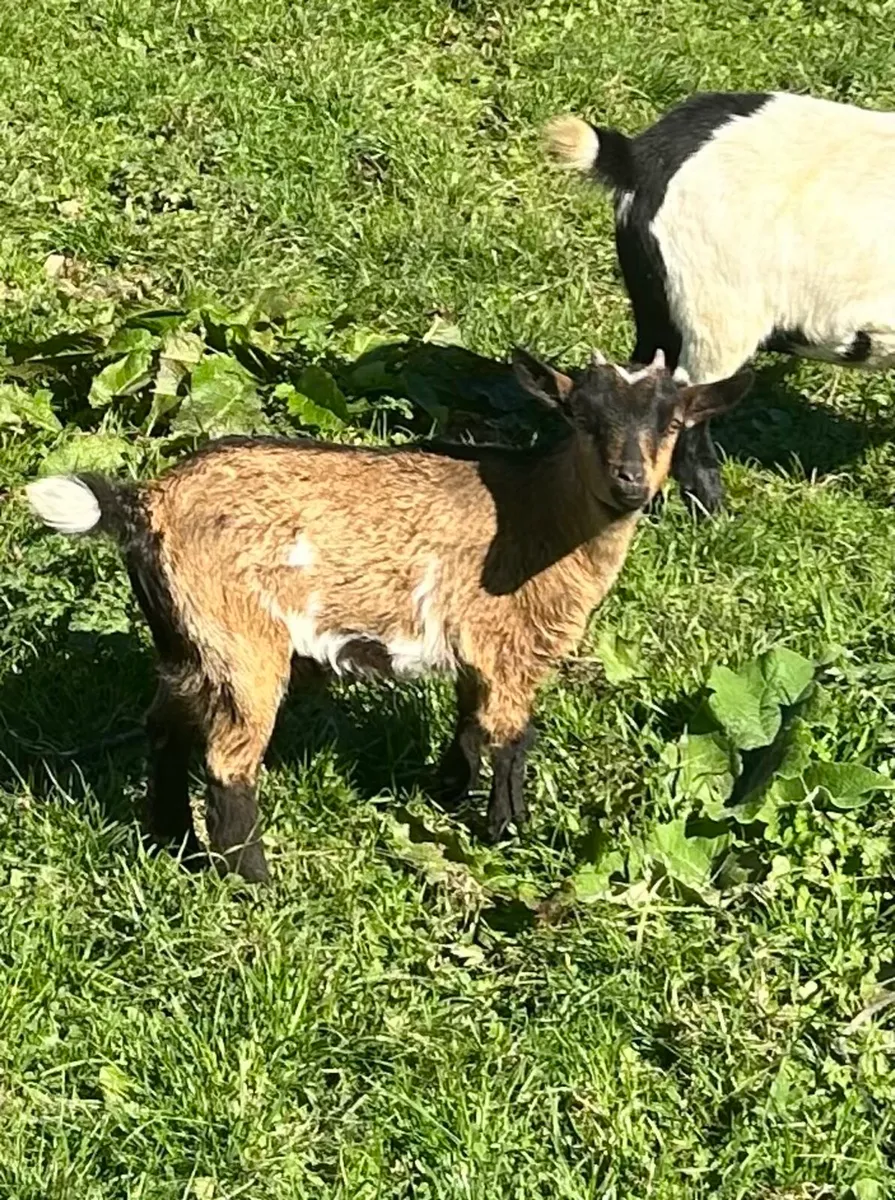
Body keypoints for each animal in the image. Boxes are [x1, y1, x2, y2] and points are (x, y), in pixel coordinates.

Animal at [26, 350, 750, 881]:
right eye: (581, 417)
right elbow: (512, 737)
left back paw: (172, 840)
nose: (630, 480)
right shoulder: (509, 646)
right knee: (229, 763)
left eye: (672, 422)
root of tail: (146, 503)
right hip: (242, 643)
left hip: (187, 644)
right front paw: (506, 831)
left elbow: (468, 721)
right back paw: (255, 880)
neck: (540, 512)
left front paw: (447, 792)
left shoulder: (473, 647)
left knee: (165, 729)